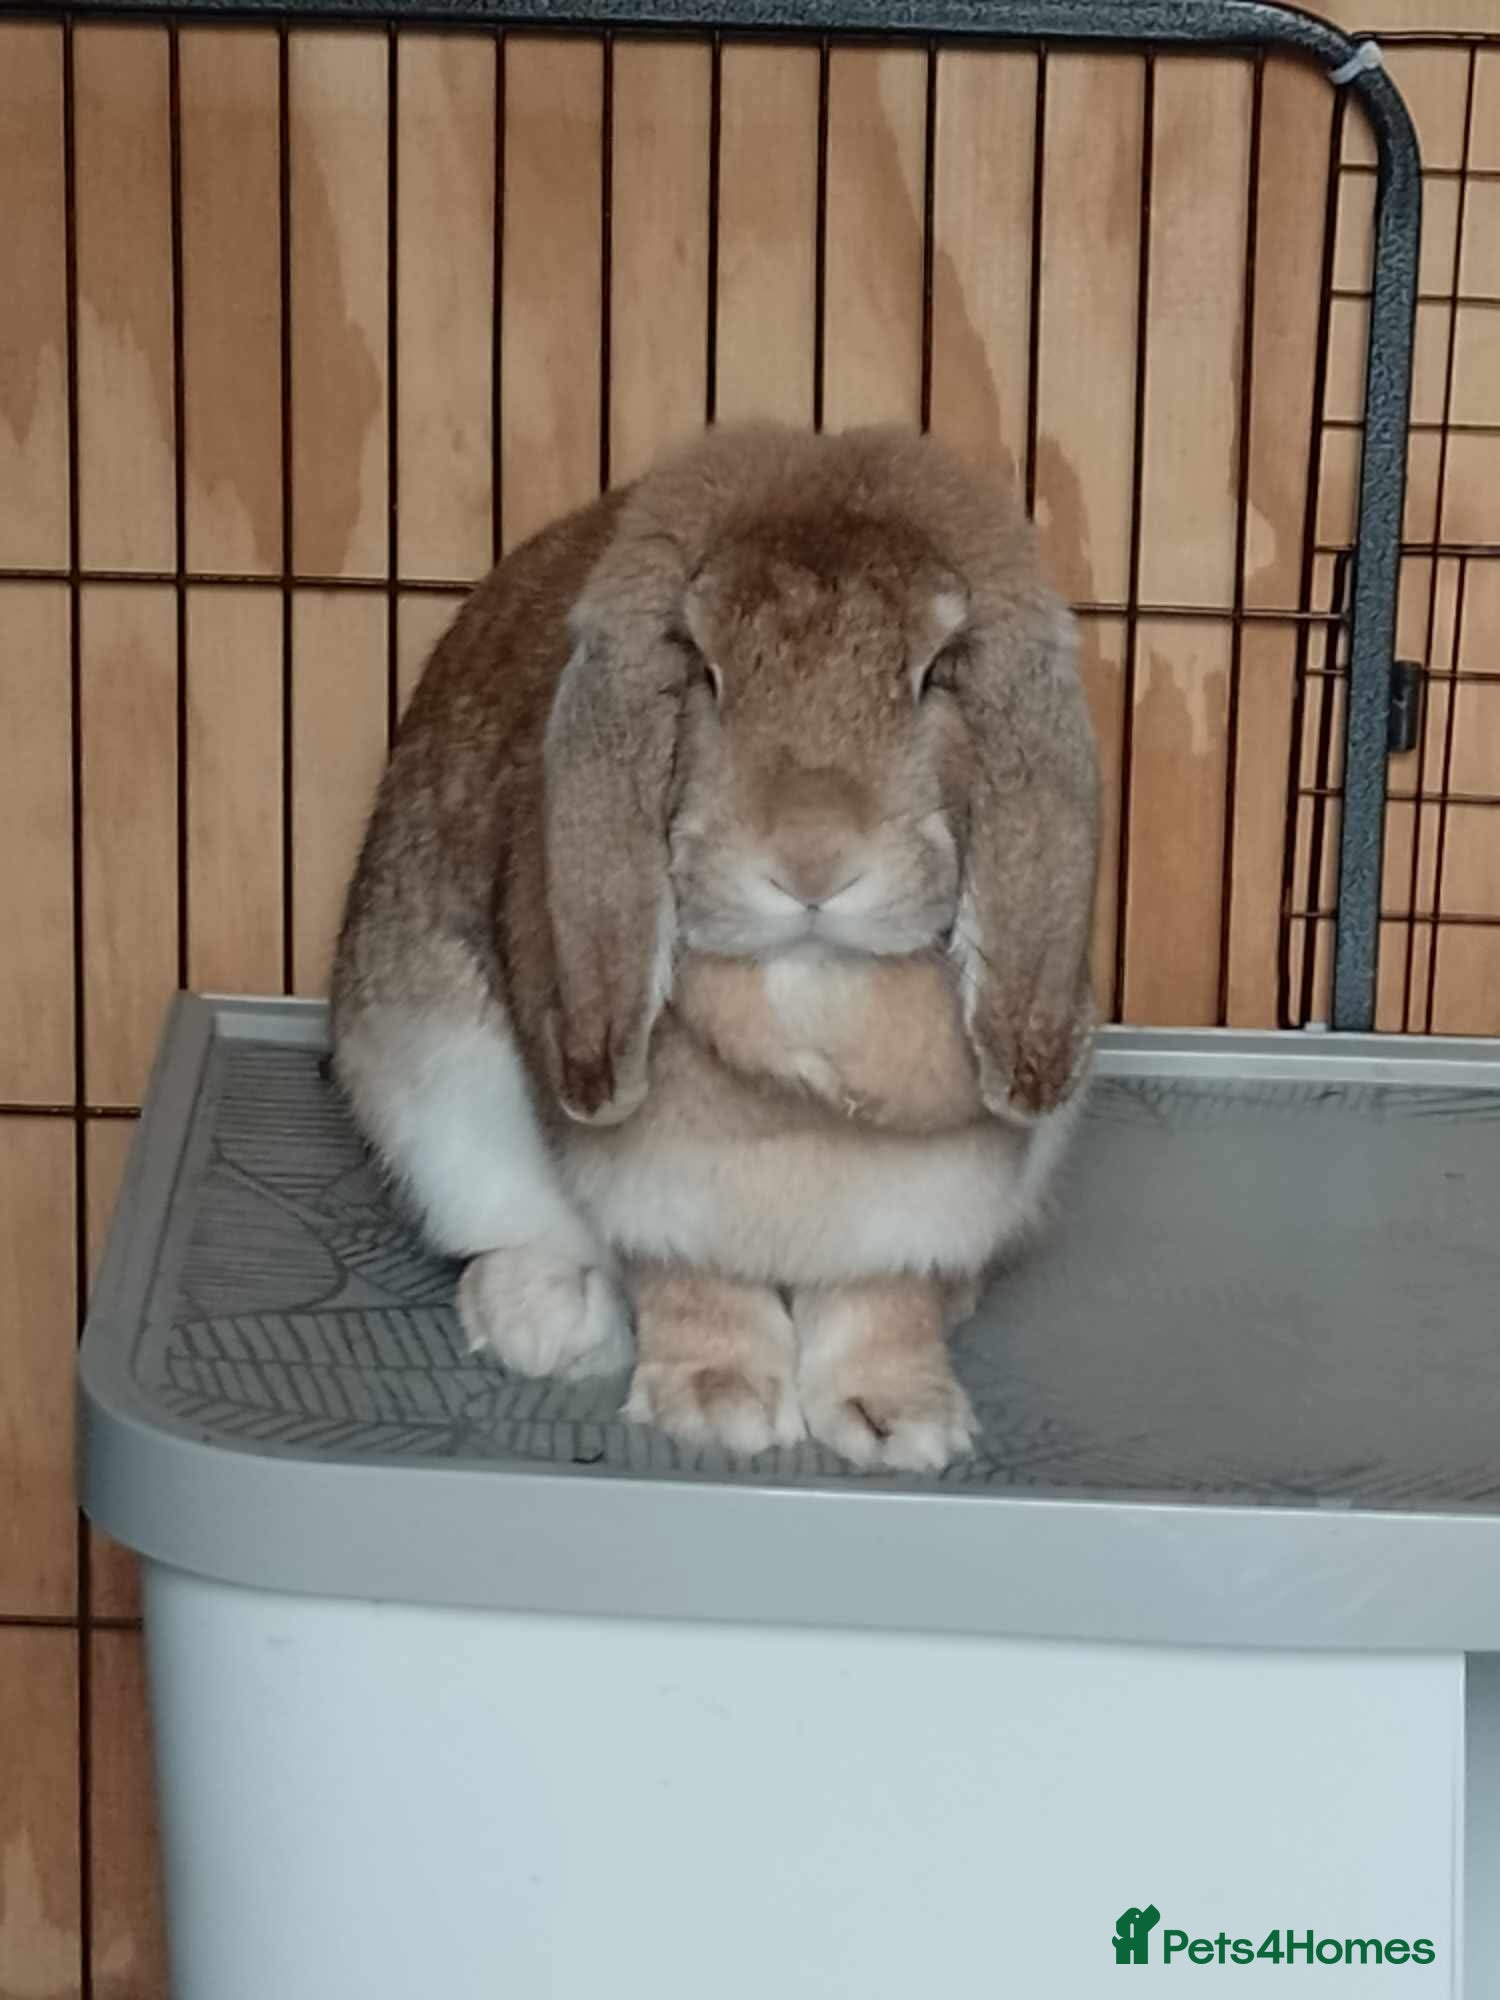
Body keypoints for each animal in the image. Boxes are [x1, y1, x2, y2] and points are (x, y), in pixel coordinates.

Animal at [330, 422, 1099, 1473]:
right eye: (703, 669)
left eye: (935, 673)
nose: (811, 862)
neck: (815, 987)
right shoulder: (664, 1191)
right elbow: (697, 1289)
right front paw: (716, 1403)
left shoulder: (915, 1209)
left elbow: (880, 1306)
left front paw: (899, 1420)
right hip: (427, 1095)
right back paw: (543, 1318)